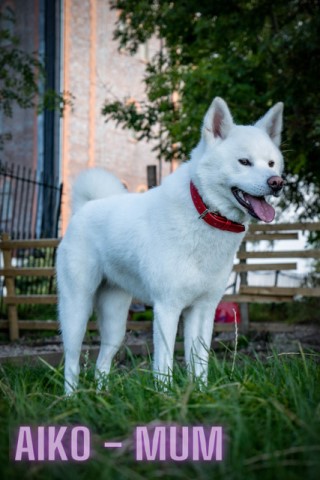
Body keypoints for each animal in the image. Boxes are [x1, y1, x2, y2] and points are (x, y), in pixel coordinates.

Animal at [56, 96, 284, 394]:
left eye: (271, 163)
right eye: (244, 162)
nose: (277, 182)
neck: (205, 215)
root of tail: (85, 207)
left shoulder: (203, 310)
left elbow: (199, 362)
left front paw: (200, 394)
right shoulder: (167, 307)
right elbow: (164, 366)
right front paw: (165, 397)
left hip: (115, 320)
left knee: (102, 361)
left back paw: (101, 395)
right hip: (77, 308)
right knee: (71, 360)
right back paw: (71, 399)